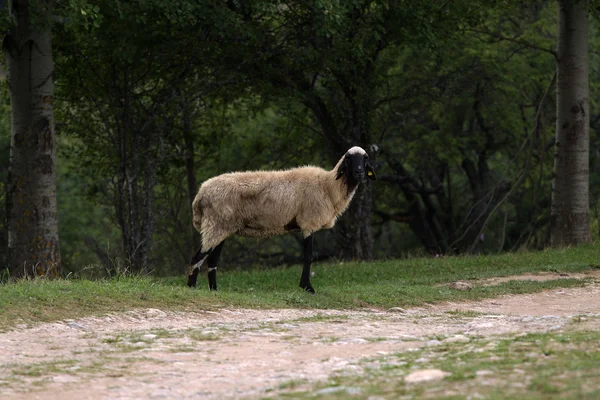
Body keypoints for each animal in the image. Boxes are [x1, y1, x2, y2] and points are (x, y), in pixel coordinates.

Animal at [185, 145, 378, 292]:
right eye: (348, 159)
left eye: (365, 159)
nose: (359, 173)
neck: (328, 186)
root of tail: (200, 195)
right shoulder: (308, 223)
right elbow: (308, 256)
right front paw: (307, 288)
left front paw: (305, 286)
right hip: (215, 225)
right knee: (197, 257)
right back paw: (192, 288)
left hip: (221, 228)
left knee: (211, 260)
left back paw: (214, 290)